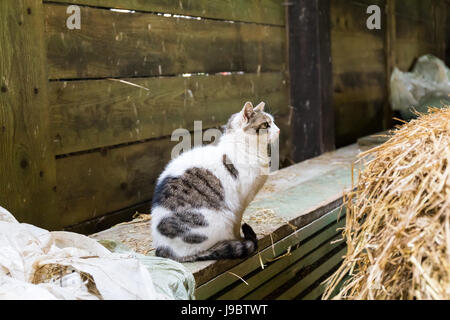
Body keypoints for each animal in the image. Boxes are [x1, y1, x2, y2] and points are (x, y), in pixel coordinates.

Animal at [149, 101, 280, 262]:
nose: (279, 130)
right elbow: (237, 224)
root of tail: (165, 249)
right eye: (266, 124)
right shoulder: (239, 204)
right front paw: (239, 239)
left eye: (273, 122)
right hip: (220, 220)